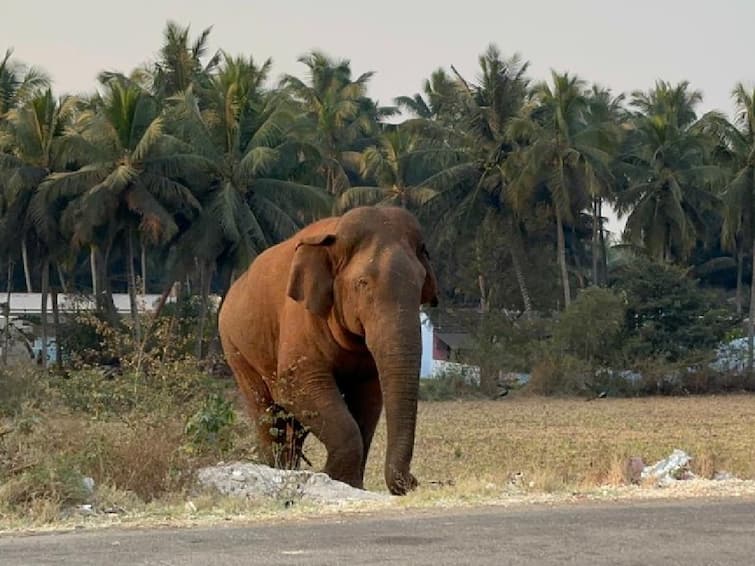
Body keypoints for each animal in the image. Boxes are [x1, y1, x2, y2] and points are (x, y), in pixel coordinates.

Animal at [219, 207, 440, 496]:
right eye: (362, 283)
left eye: (421, 282)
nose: (413, 481)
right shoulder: (299, 318)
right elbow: (294, 388)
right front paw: (334, 478)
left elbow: (369, 400)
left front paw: (349, 484)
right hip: (236, 349)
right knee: (267, 415)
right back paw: (276, 470)